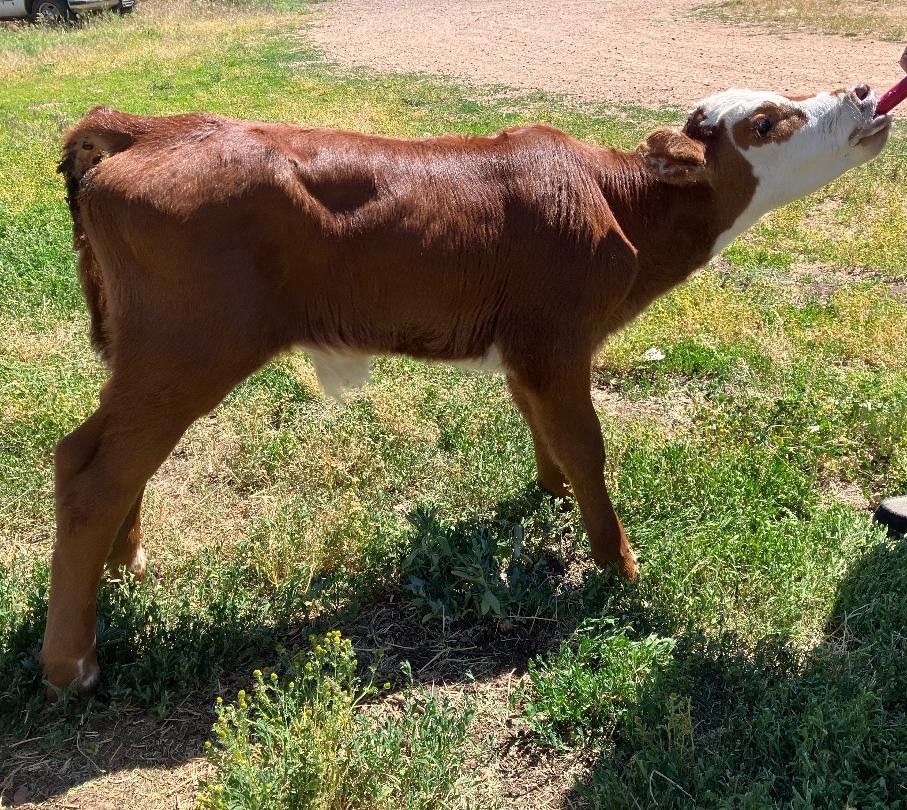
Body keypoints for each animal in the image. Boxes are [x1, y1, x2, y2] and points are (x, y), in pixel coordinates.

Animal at [42, 84, 892, 693]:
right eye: (766, 121)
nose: (862, 93)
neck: (616, 205)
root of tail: (149, 126)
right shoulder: (556, 338)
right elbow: (587, 445)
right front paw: (617, 563)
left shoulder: (525, 350)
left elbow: (543, 428)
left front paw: (550, 494)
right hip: (191, 347)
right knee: (95, 470)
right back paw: (70, 665)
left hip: (152, 355)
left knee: (110, 456)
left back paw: (123, 565)